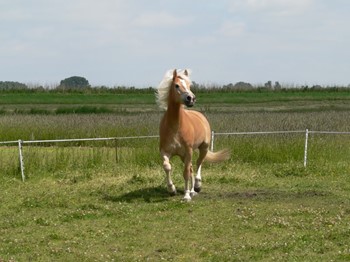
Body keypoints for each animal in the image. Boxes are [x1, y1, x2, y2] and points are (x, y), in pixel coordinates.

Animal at [157, 69, 230, 201]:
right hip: (183, 155)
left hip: (203, 148)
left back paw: (196, 187)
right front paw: (172, 189)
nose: (191, 98)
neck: (175, 128)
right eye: (176, 85)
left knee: (198, 163)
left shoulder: (188, 151)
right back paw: (191, 190)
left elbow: (185, 172)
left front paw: (186, 196)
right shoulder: (165, 151)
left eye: (189, 85)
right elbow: (167, 166)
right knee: (191, 167)